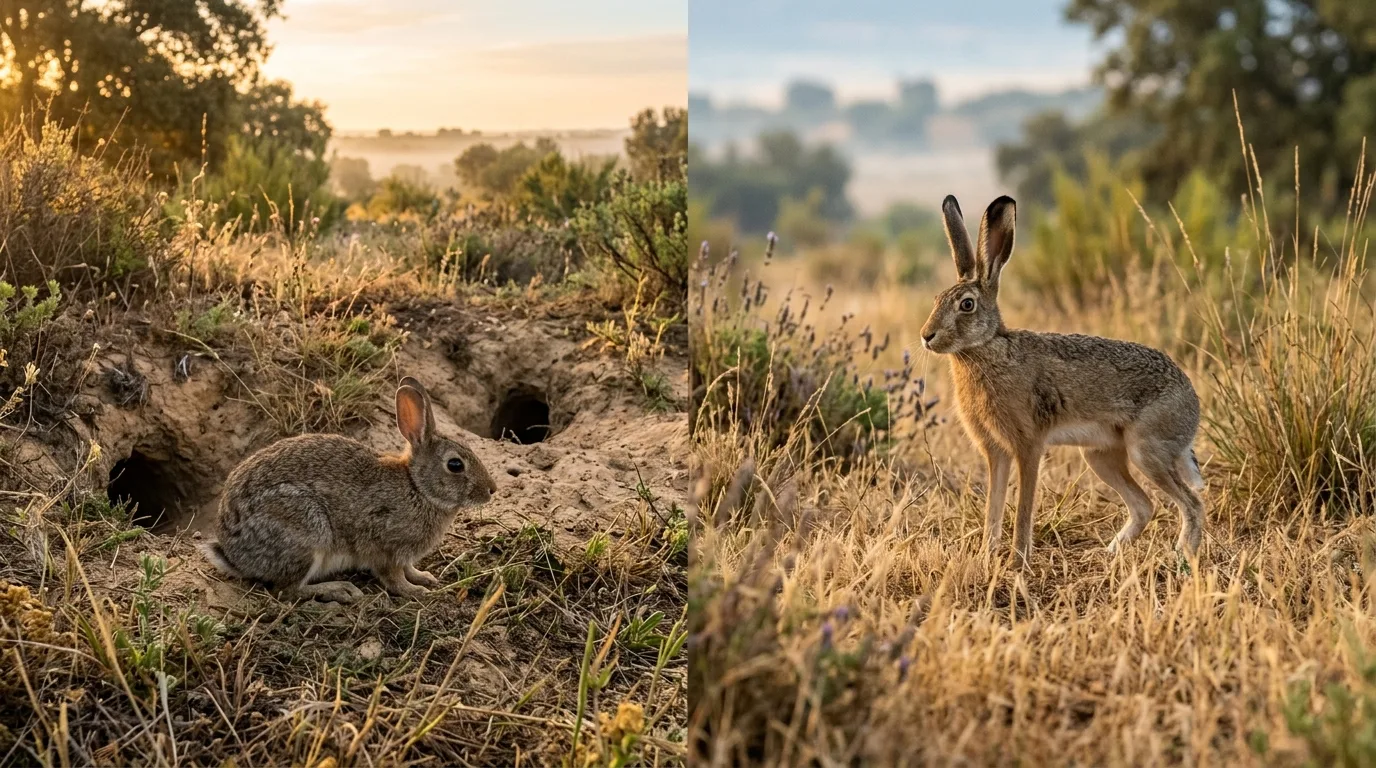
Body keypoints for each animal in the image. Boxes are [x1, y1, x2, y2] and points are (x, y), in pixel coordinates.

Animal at [199, 376, 497, 603]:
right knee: (287, 591)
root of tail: (236, 555)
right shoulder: (386, 545)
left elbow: (409, 568)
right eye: (455, 465)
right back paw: (340, 591)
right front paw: (416, 591)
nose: (492, 490)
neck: (417, 487)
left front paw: (424, 578)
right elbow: (393, 577)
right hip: (306, 532)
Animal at [920, 195, 1204, 564]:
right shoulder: (996, 450)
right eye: (936, 299)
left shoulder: (1028, 444)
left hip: (1148, 449)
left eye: (966, 305)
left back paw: (1182, 557)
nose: (927, 336)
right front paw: (986, 556)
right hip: (1100, 456)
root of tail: (1192, 402)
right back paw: (1108, 553)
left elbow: (1023, 508)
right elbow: (993, 508)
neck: (987, 348)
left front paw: (1018, 561)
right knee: (1144, 505)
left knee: (1192, 503)